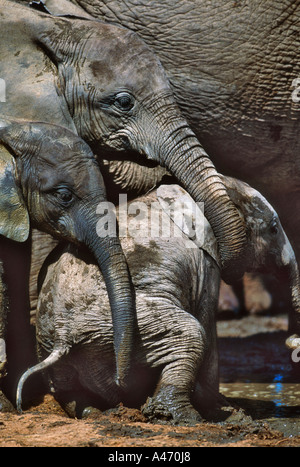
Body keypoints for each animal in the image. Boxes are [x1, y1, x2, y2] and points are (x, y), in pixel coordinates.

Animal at [16, 177, 300, 422]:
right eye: (273, 229)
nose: (291, 342)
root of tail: (62, 338)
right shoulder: (205, 262)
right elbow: (207, 325)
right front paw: (219, 407)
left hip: (56, 344)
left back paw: (96, 414)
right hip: (128, 324)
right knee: (191, 333)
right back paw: (183, 417)